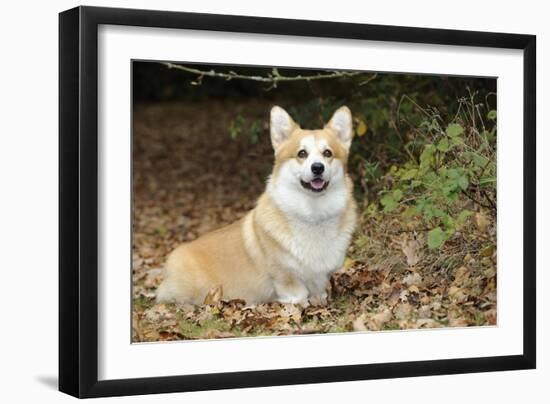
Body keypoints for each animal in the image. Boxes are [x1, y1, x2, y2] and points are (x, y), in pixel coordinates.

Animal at [157, 105, 360, 304]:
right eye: (302, 153)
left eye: (328, 153)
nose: (317, 167)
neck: (313, 212)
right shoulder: (285, 276)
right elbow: (298, 297)